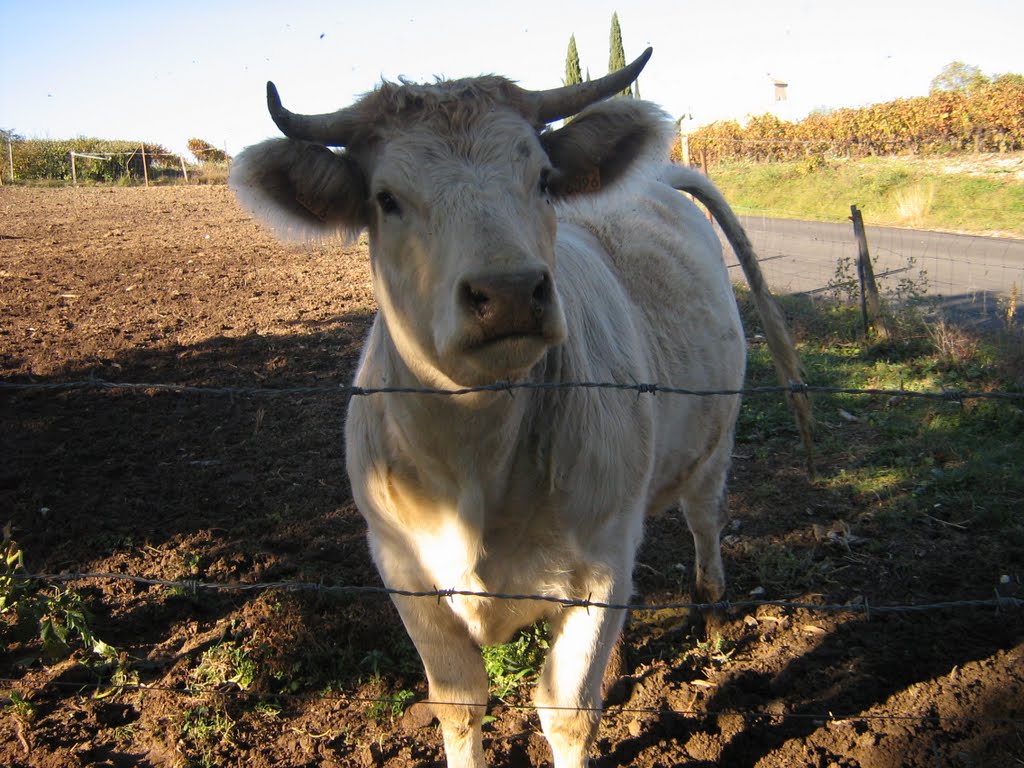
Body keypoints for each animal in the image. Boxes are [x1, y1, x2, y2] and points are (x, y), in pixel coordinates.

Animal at [230, 49, 806, 768]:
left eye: (543, 178)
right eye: (386, 199)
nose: (507, 291)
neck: (474, 465)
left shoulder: (601, 564)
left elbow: (567, 710)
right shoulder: (402, 569)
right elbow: (457, 705)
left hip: (714, 443)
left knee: (706, 530)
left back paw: (714, 624)